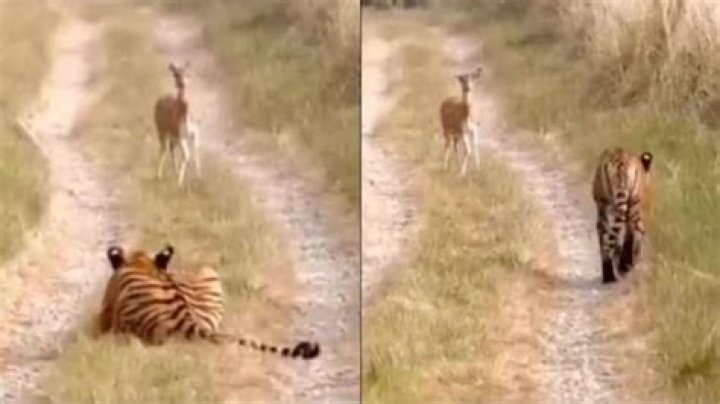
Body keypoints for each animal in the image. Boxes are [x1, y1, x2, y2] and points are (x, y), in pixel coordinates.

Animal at [592, 147, 653, 283]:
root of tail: (621, 162)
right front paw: (625, 264)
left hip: (609, 208)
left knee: (607, 238)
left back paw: (609, 274)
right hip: (631, 205)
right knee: (634, 230)